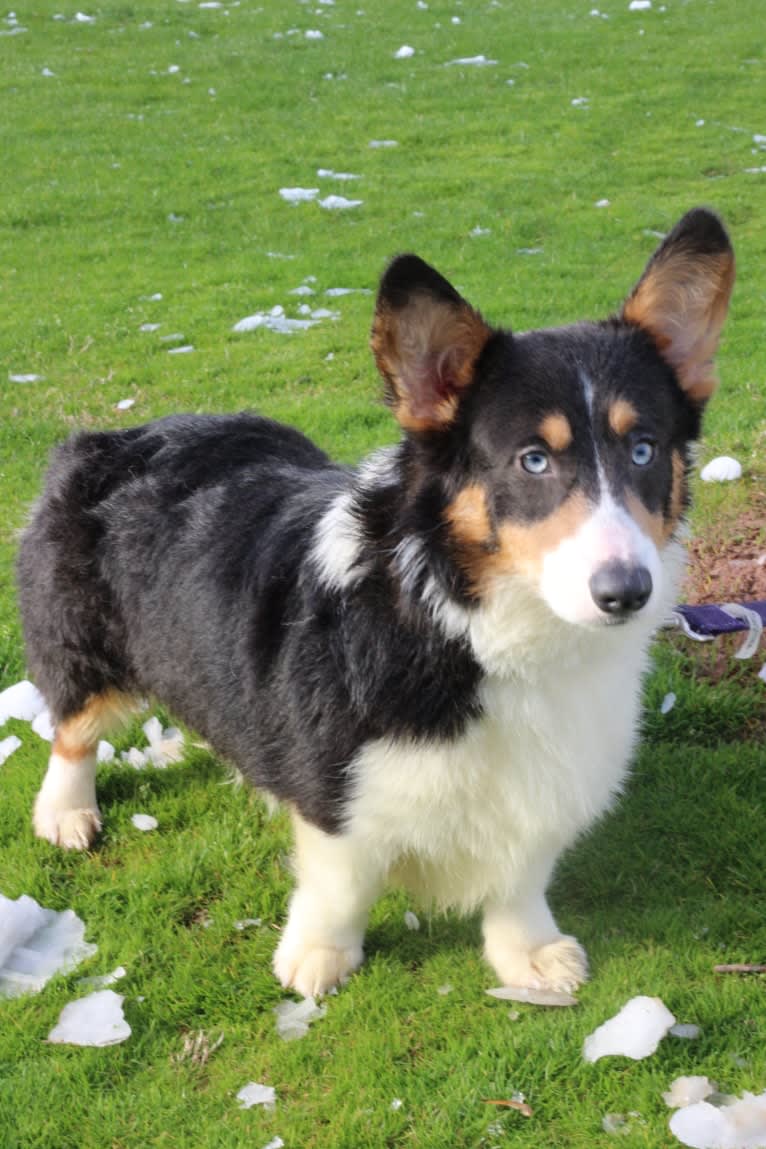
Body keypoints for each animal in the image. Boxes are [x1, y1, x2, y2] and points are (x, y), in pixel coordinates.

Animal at [19, 206, 734, 997]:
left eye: (643, 450)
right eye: (533, 460)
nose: (625, 592)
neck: (470, 624)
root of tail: (113, 436)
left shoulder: (546, 782)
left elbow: (521, 876)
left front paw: (530, 954)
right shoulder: (337, 788)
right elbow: (343, 881)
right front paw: (318, 959)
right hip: (84, 643)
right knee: (72, 726)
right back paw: (67, 812)